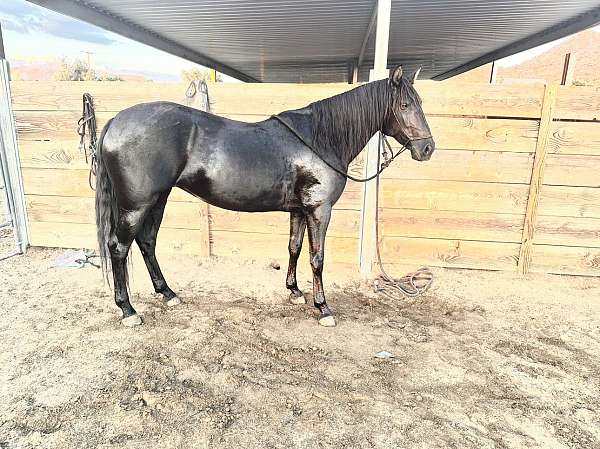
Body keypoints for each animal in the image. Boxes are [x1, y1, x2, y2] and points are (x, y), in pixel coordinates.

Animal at [94, 65, 434, 326]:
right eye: (405, 105)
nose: (427, 148)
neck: (320, 138)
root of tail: (114, 122)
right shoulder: (319, 209)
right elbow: (318, 258)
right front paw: (323, 308)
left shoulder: (299, 209)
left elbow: (295, 248)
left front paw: (295, 292)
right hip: (135, 205)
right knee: (119, 248)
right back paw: (128, 310)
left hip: (158, 199)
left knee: (147, 242)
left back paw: (168, 294)